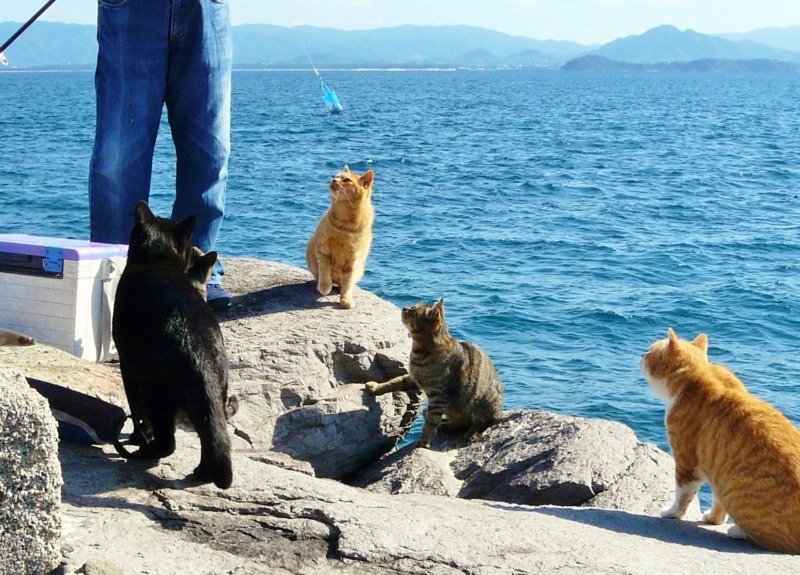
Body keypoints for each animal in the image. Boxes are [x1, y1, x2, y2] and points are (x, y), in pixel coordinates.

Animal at [111, 202, 234, 490]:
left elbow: (137, 412)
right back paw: (202, 473)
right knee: (211, 435)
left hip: (157, 392)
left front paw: (137, 438)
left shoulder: (127, 366)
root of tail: (199, 350)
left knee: (169, 441)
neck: (156, 260)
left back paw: (144, 452)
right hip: (207, 401)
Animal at [306, 165, 376, 310]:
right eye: (336, 176)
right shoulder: (323, 249)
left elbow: (347, 283)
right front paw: (324, 286)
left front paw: (346, 298)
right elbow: (324, 269)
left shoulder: (353, 260)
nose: (334, 180)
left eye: (346, 180)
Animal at [366, 300, 504, 448]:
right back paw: (447, 425)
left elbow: (431, 421)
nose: (404, 308)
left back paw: (469, 434)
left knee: (482, 422)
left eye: (413, 311)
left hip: (482, 404)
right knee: (460, 421)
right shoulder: (414, 378)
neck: (420, 350)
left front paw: (425, 440)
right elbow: (395, 382)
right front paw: (376, 387)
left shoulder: (438, 396)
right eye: (412, 307)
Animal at [640, 328, 800, 552]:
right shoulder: (718, 469)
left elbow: (682, 495)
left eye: (650, 352)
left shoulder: (687, 462)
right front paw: (713, 519)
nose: (641, 355)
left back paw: (737, 531)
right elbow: (718, 499)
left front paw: (672, 513)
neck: (700, 374)